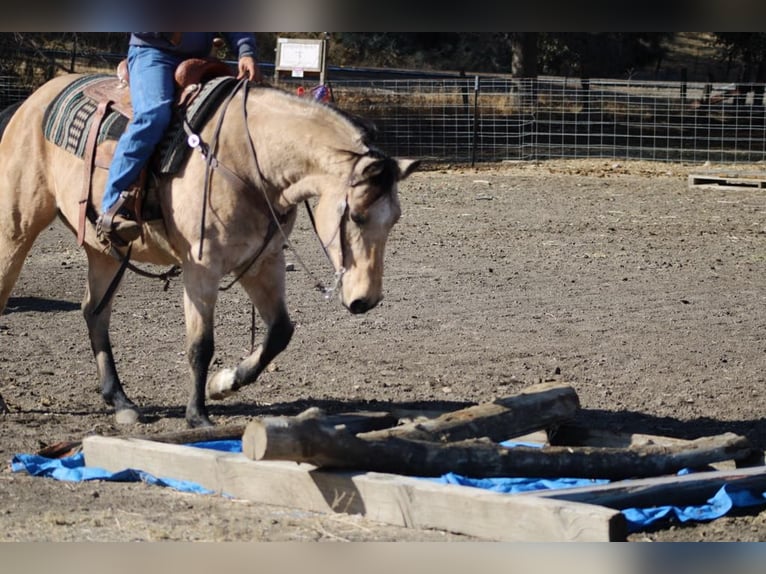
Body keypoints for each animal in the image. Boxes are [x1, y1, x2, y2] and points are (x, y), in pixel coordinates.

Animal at [0, 71, 420, 428]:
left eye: (395, 218)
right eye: (358, 216)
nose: (366, 300)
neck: (247, 160)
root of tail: (28, 104)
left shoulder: (263, 262)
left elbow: (280, 332)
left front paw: (225, 383)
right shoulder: (201, 266)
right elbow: (201, 344)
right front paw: (197, 415)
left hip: (104, 251)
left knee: (94, 312)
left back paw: (120, 401)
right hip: (17, 228)